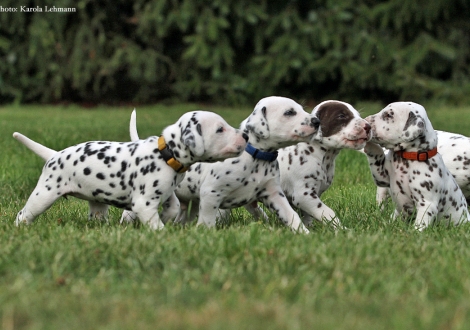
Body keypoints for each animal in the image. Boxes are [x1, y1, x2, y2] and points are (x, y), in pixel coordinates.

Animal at [12, 109, 248, 228]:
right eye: (220, 129)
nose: (245, 137)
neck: (165, 153)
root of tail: (54, 155)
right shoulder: (144, 203)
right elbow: (155, 224)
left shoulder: (166, 193)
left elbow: (172, 208)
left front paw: (166, 219)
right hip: (44, 195)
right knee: (24, 213)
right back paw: (21, 227)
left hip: (97, 204)